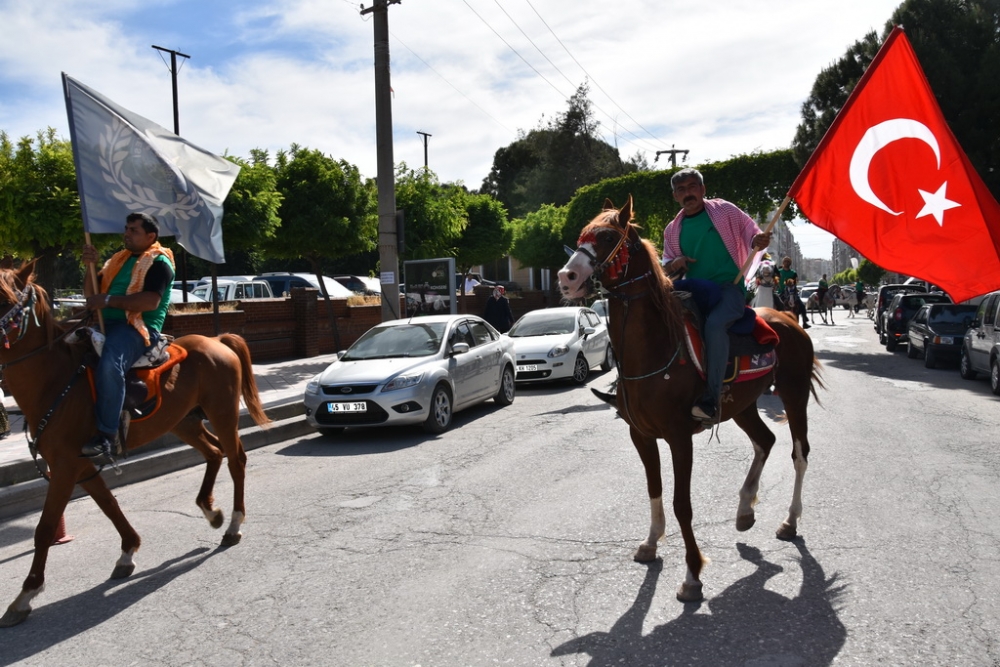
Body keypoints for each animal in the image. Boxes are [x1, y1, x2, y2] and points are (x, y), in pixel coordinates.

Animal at [0, 260, 270, 628]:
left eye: (3, 297)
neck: (53, 380)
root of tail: (217, 340)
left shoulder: (65, 466)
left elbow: (45, 528)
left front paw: (25, 595)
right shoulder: (80, 464)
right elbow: (109, 505)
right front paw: (128, 551)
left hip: (222, 413)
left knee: (235, 459)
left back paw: (233, 525)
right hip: (183, 421)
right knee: (214, 452)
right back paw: (211, 511)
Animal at [556, 198, 820, 604]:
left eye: (609, 238)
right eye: (582, 235)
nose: (566, 277)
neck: (655, 348)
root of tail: (787, 317)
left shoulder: (679, 438)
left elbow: (683, 503)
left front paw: (692, 575)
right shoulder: (641, 435)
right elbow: (655, 489)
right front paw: (651, 543)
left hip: (794, 394)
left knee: (799, 453)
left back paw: (790, 520)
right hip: (743, 406)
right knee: (765, 441)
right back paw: (744, 509)